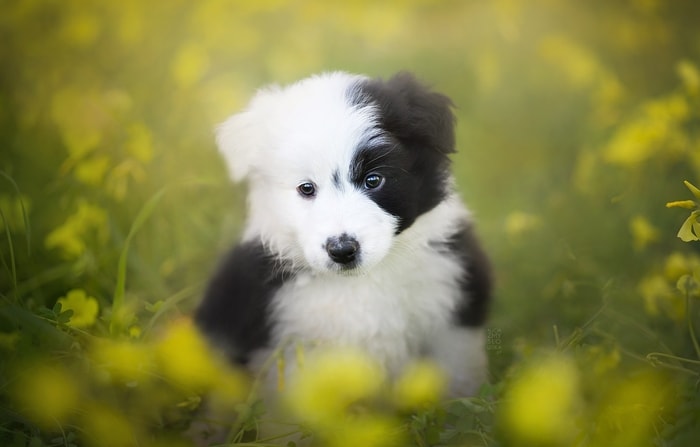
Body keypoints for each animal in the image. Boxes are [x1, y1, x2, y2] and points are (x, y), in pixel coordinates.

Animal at [196, 72, 492, 398]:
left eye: (373, 180)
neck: (361, 282)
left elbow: (457, 380)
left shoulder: (452, 317)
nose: (342, 250)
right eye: (306, 188)